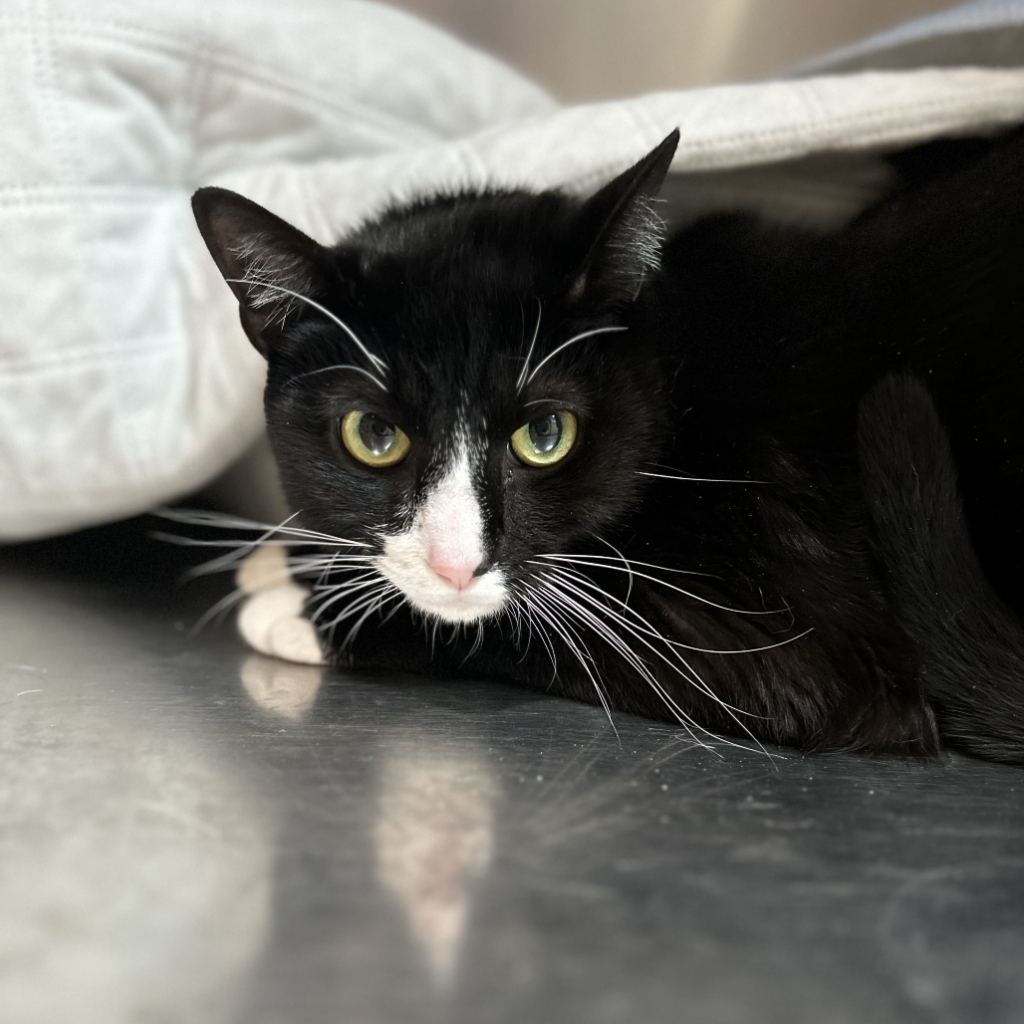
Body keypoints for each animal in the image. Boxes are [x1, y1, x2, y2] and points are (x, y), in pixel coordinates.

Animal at [191, 126, 1024, 765]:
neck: (682, 382)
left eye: (545, 435)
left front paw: (296, 600)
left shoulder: (793, 626)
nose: (456, 565)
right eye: (373, 436)